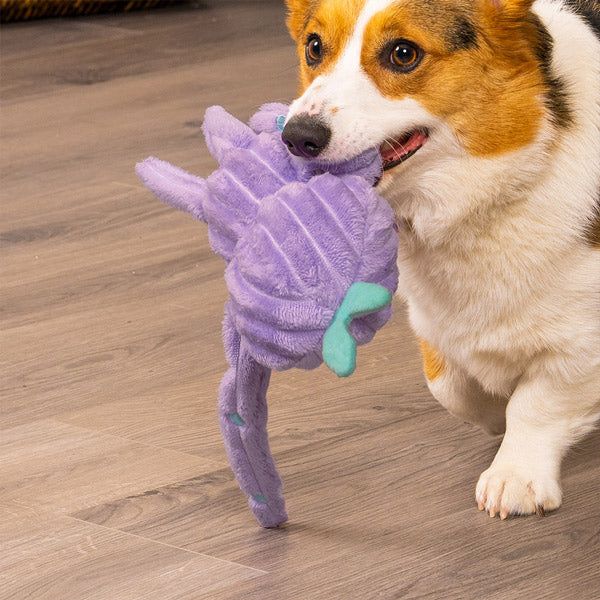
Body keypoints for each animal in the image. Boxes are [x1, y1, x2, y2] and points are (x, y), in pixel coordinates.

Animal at [282, 0, 600, 516]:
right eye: (313, 46)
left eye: (403, 53)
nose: (296, 137)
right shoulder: (434, 324)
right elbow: (450, 387)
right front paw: (494, 416)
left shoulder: (580, 342)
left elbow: (536, 403)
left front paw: (515, 477)